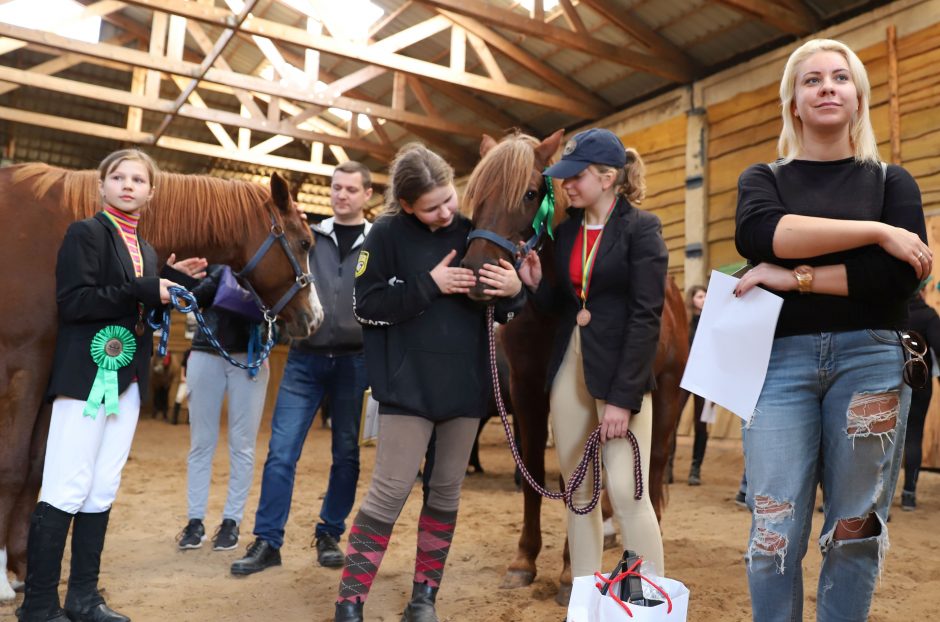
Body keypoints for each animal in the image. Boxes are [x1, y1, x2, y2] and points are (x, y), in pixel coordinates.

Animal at [0, 166, 324, 600]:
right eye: (304, 242)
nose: (316, 318)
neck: (54, 232)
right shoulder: (24, 366)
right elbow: (14, 466)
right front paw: (4, 577)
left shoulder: (54, 374)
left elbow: (37, 467)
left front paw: (21, 569)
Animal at [462, 134, 692, 604]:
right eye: (476, 193)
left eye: (531, 193)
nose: (478, 274)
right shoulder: (529, 390)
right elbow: (537, 470)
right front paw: (523, 561)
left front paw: (571, 573)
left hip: (666, 393)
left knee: (654, 465)